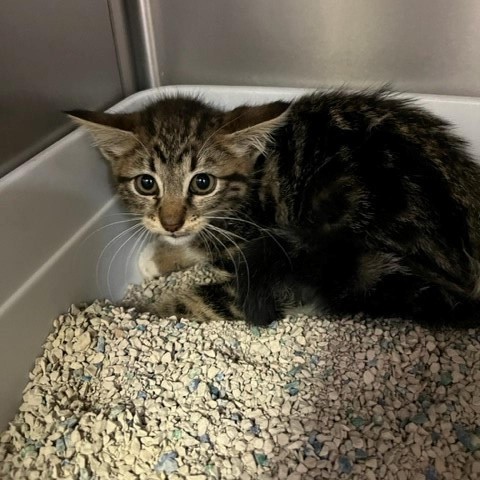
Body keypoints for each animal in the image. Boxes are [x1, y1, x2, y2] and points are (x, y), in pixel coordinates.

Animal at [67, 89, 480, 326]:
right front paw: (164, 255)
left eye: (202, 183)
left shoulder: (273, 262)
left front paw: (138, 311)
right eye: (146, 183)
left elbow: (205, 293)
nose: (171, 223)